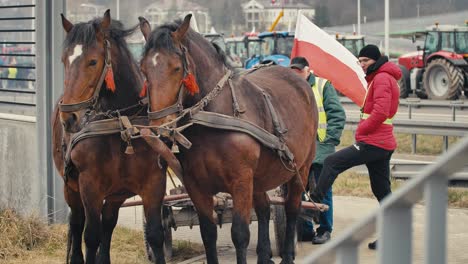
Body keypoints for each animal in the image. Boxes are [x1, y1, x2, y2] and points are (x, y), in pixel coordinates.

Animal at [52, 10, 181, 264]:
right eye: (64, 60)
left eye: (93, 61)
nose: (69, 117)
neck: (121, 124)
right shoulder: (89, 186)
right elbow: (90, 236)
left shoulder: (153, 183)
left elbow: (155, 234)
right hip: (71, 187)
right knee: (77, 223)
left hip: (115, 194)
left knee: (108, 223)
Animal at [137, 14, 316, 264]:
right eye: (143, 69)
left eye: (176, 68)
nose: (160, 129)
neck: (212, 118)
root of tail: (296, 77)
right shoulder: (196, 184)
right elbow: (208, 233)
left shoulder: (240, 181)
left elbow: (240, 233)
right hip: (258, 177)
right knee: (264, 209)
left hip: (301, 167)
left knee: (291, 208)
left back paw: (288, 253)